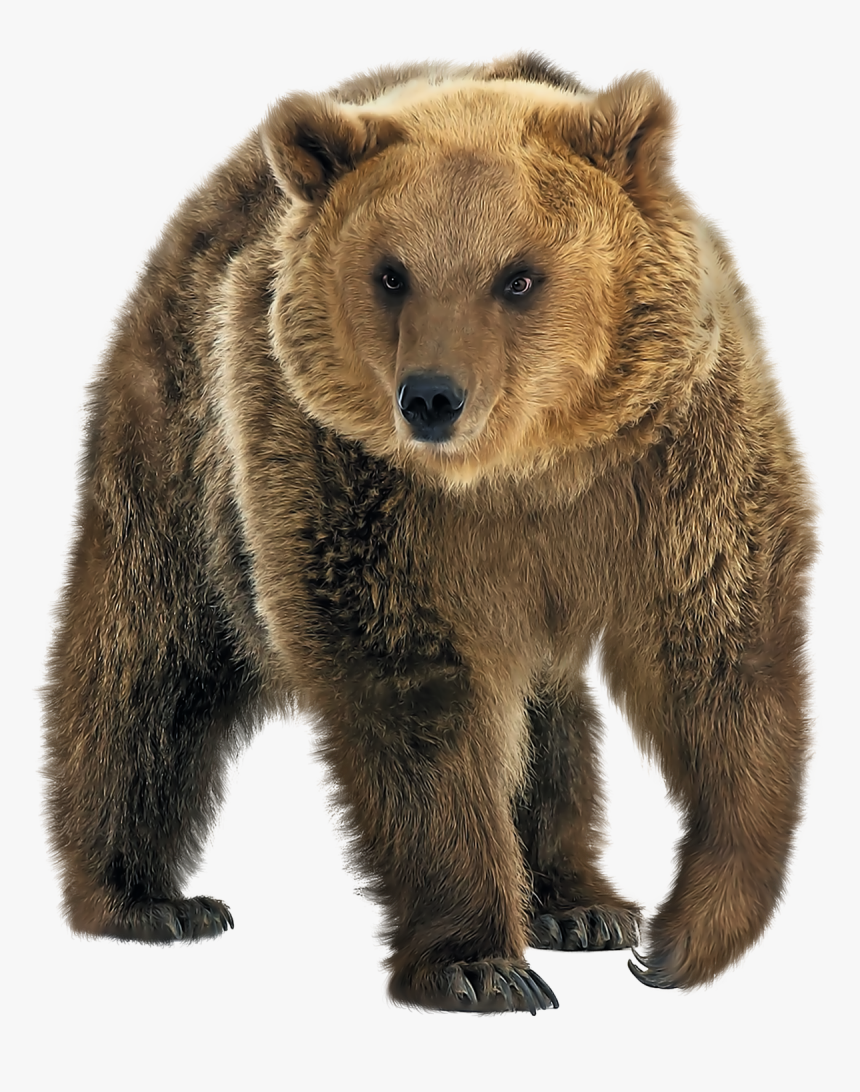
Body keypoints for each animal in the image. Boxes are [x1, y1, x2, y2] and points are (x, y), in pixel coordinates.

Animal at [43, 52, 816, 1013]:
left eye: (518, 276)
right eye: (391, 273)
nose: (432, 397)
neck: (522, 471)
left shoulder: (673, 454)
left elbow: (716, 652)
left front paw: (682, 935)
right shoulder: (353, 487)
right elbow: (418, 700)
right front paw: (481, 964)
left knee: (548, 716)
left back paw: (577, 903)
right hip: (184, 456)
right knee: (148, 664)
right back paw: (145, 897)